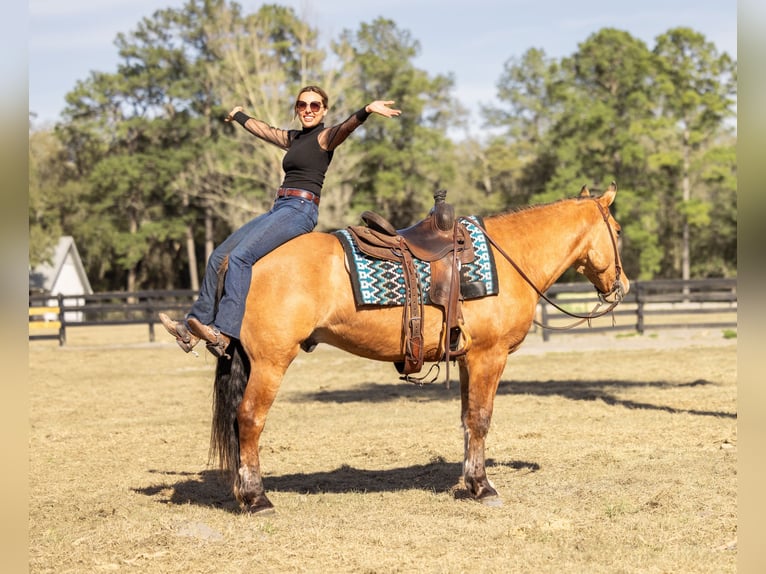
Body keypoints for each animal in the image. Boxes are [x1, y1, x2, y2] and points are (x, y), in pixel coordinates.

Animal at [209, 183, 629, 513]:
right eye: (618, 230)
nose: (622, 285)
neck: (510, 258)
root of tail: (241, 257)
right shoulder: (489, 357)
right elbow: (481, 419)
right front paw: (483, 487)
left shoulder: (466, 360)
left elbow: (466, 420)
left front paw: (470, 482)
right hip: (271, 362)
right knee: (249, 419)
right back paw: (257, 498)